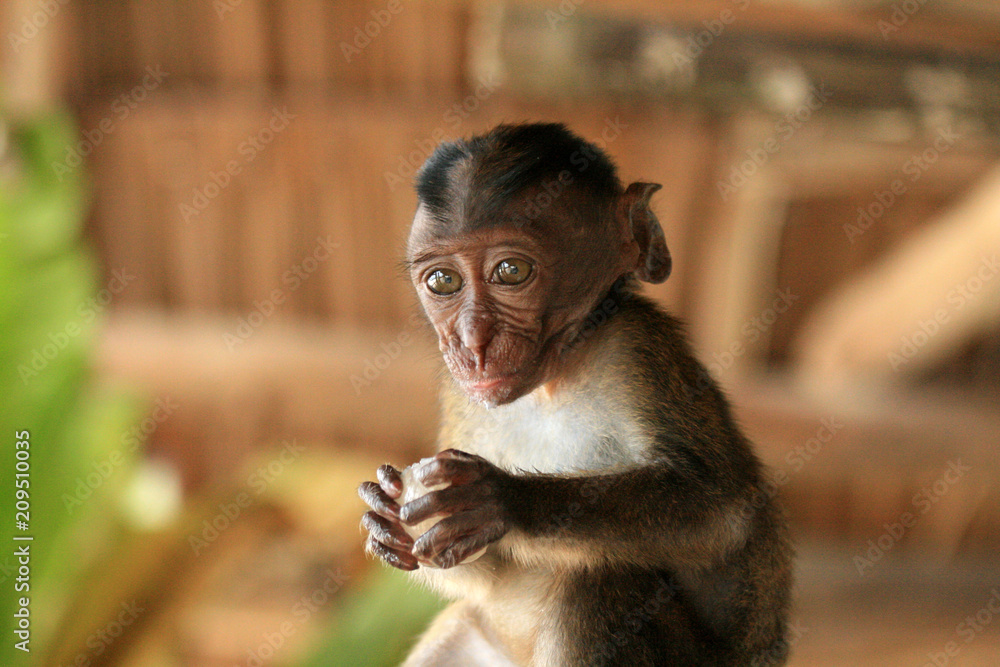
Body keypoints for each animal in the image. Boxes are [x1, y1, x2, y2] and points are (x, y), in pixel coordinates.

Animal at [358, 123, 793, 666]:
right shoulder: (459, 394)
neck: (552, 380)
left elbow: (721, 509)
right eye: (443, 281)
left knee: (599, 583)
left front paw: (502, 500)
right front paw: (387, 519)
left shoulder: (637, 348)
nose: (471, 342)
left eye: (511, 272)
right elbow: (475, 567)